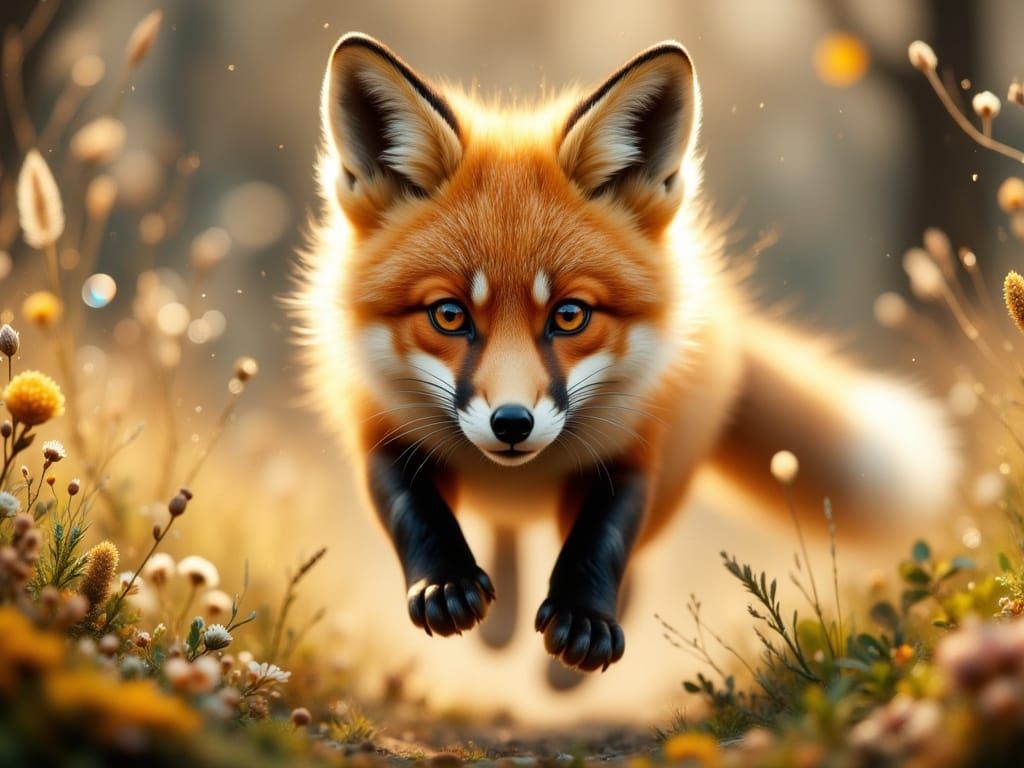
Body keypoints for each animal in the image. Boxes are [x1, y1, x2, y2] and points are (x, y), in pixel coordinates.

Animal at [292, 33, 959, 675]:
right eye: (449, 315)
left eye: (570, 315)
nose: (512, 424)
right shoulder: (380, 428)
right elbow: (416, 511)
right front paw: (447, 583)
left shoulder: (636, 448)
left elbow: (602, 542)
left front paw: (583, 621)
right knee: (505, 535)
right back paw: (501, 624)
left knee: (631, 565)